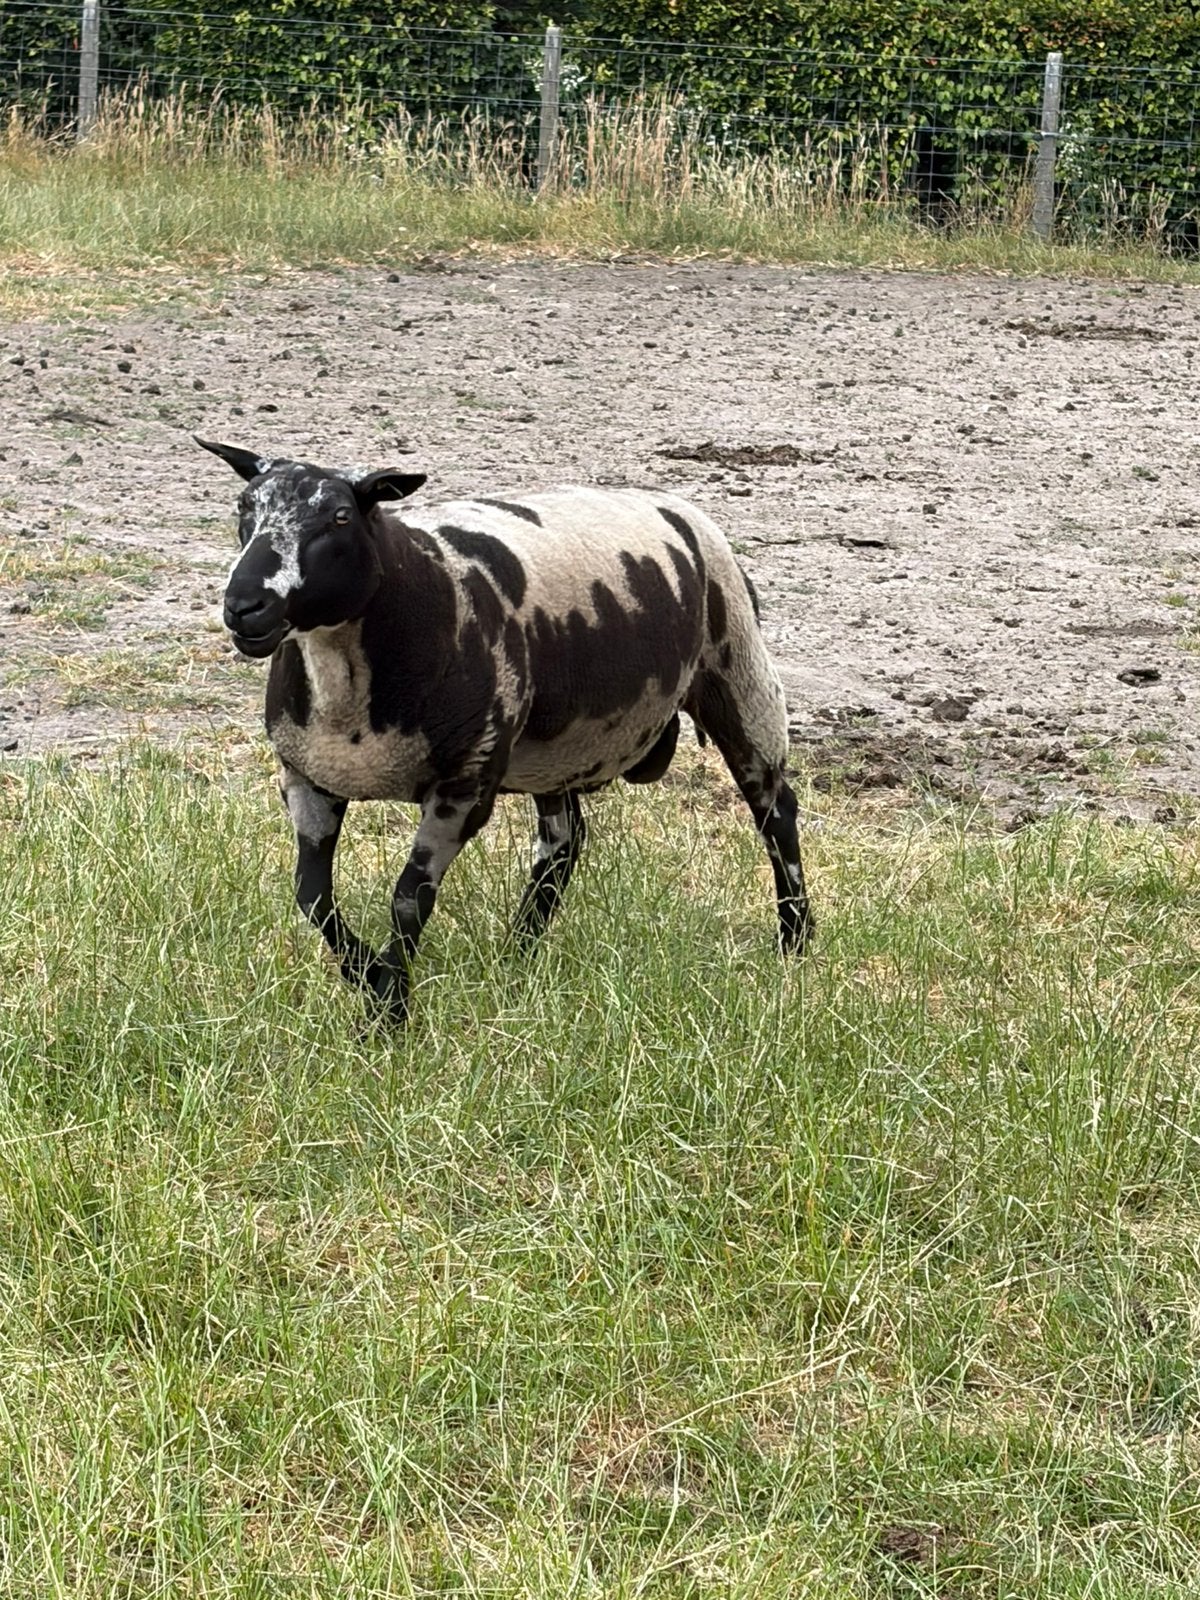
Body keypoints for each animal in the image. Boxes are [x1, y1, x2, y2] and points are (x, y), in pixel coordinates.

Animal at [199, 437, 812, 1021]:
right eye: (245, 506)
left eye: (341, 517)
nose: (245, 605)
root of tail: (679, 508)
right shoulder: (306, 777)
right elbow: (313, 898)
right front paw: (371, 980)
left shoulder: (464, 785)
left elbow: (408, 899)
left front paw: (388, 1011)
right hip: (560, 747)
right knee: (563, 843)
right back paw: (516, 956)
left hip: (738, 674)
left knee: (776, 813)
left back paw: (796, 944)